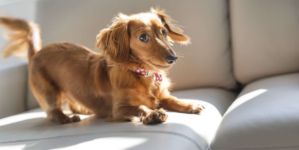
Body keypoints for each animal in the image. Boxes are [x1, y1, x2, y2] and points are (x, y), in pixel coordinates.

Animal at [0, 8, 204, 124]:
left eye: (164, 32)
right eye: (143, 37)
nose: (173, 58)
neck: (142, 74)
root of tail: (37, 53)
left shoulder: (162, 96)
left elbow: (173, 100)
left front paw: (190, 104)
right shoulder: (119, 108)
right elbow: (140, 107)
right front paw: (152, 114)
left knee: (72, 104)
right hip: (49, 92)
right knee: (53, 112)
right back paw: (67, 118)